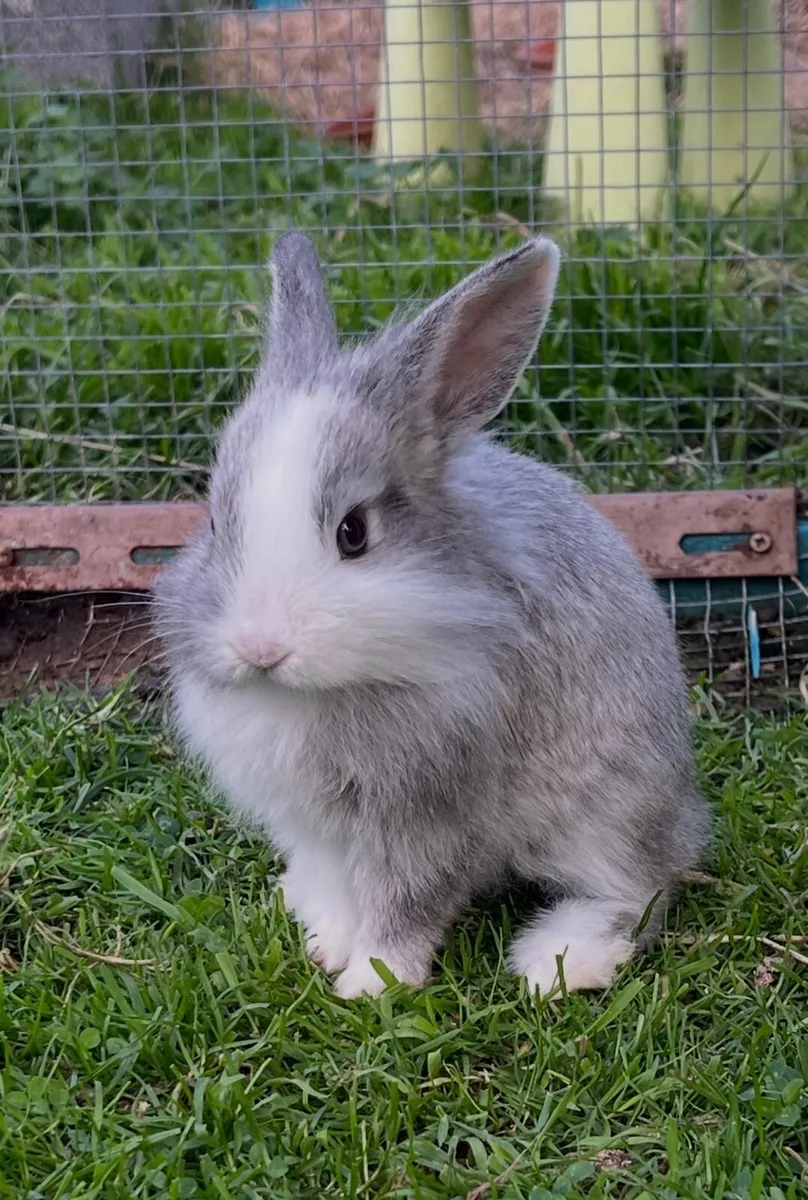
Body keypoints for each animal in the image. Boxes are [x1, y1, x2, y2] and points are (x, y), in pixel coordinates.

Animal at [154, 229, 710, 1000]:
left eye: (354, 533)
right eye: (213, 521)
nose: (261, 648)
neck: (317, 694)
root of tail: (685, 809)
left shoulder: (429, 819)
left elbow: (406, 904)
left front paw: (370, 981)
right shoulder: (315, 826)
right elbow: (337, 884)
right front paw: (325, 938)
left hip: (608, 809)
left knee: (640, 888)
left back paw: (560, 962)